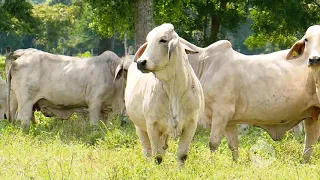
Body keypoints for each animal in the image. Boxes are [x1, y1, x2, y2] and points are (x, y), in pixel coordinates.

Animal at [120, 23, 205, 165]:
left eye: (163, 40)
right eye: (148, 41)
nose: (141, 62)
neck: (173, 89)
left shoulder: (191, 124)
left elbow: (182, 155)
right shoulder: (152, 125)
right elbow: (157, 156)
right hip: (139, 127)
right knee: (147, 150)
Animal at [179, 38, 320, 162]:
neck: (203, 65)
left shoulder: (221, 113)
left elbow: (213, 143)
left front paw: (211, 163)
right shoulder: (229, 121)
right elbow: (233, 145)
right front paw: (235, 164)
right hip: (312, 113)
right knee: (311, 139)